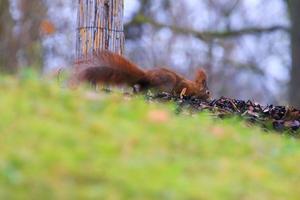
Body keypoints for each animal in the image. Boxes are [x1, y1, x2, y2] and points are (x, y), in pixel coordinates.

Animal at [70, 50, 211, 100]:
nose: (210, 98)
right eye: (208, 92)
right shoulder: (184, 86)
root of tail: (146, 76)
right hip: (164, 83)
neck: (193, 86)